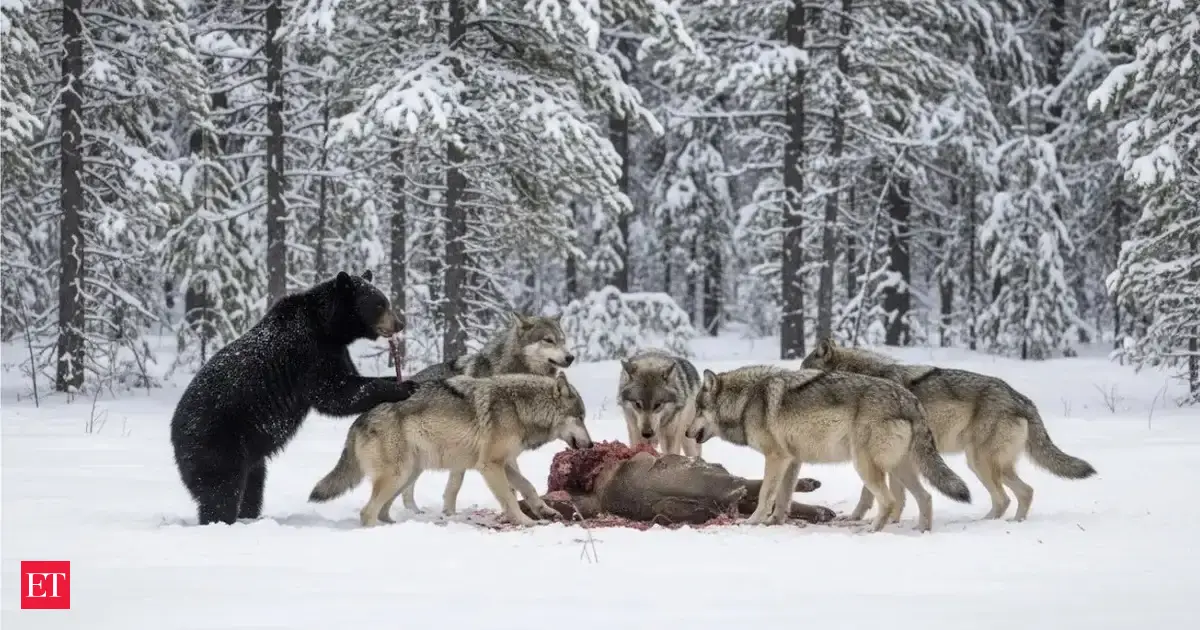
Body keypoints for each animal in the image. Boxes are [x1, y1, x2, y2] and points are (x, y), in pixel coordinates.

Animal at [169, 270, 419, 525]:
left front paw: (401, 377)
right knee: (221, 489)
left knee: (253, 484)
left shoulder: (336, 350)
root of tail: (174, 430)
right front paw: (404, 387)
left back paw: (250, 515)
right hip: (217, 441)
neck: (327, 326)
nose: (400, 324)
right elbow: (334, 393)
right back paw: (220, 520)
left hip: (248, 454)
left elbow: (349, 381)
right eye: (379, 304)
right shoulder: (309, 352)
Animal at [308, 371, 593, 527]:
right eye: (580, 417)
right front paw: (526, 522)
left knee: (383, 511)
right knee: (368, 512)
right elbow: (510, 499)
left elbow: (529, 487)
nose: (591, 444)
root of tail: (359, 419)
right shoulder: (490, 466)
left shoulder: (504, 463)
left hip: (406, 476)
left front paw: (545, 511)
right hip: (398, 476)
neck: (518, 407)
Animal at [401, 313, 575, 515]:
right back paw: (413, 512)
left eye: (563, 340)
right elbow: (456, 483)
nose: (570, 357)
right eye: (548, 340)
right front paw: (449, 513)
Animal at [684, 365, 972, 532]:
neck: (745, 400)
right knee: (926, 497)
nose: (686, 432)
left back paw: (871, 529)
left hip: (865, 466)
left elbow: (766, 493)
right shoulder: (792, 460)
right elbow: (783, 497)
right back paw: (922, 531)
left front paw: (753, 521)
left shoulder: (776, 457)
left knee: (890, 501)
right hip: (899, 468)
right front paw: (774, 522)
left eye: (698, 409)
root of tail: (910, 400)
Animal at [800, 339, 1096, 522]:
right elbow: (895, 496)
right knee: (1024, 492)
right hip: (984, 464)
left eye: (805, 371)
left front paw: (862, 519)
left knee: (1007, 497)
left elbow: (873, 494)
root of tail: (1022, 399)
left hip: (981, 462)